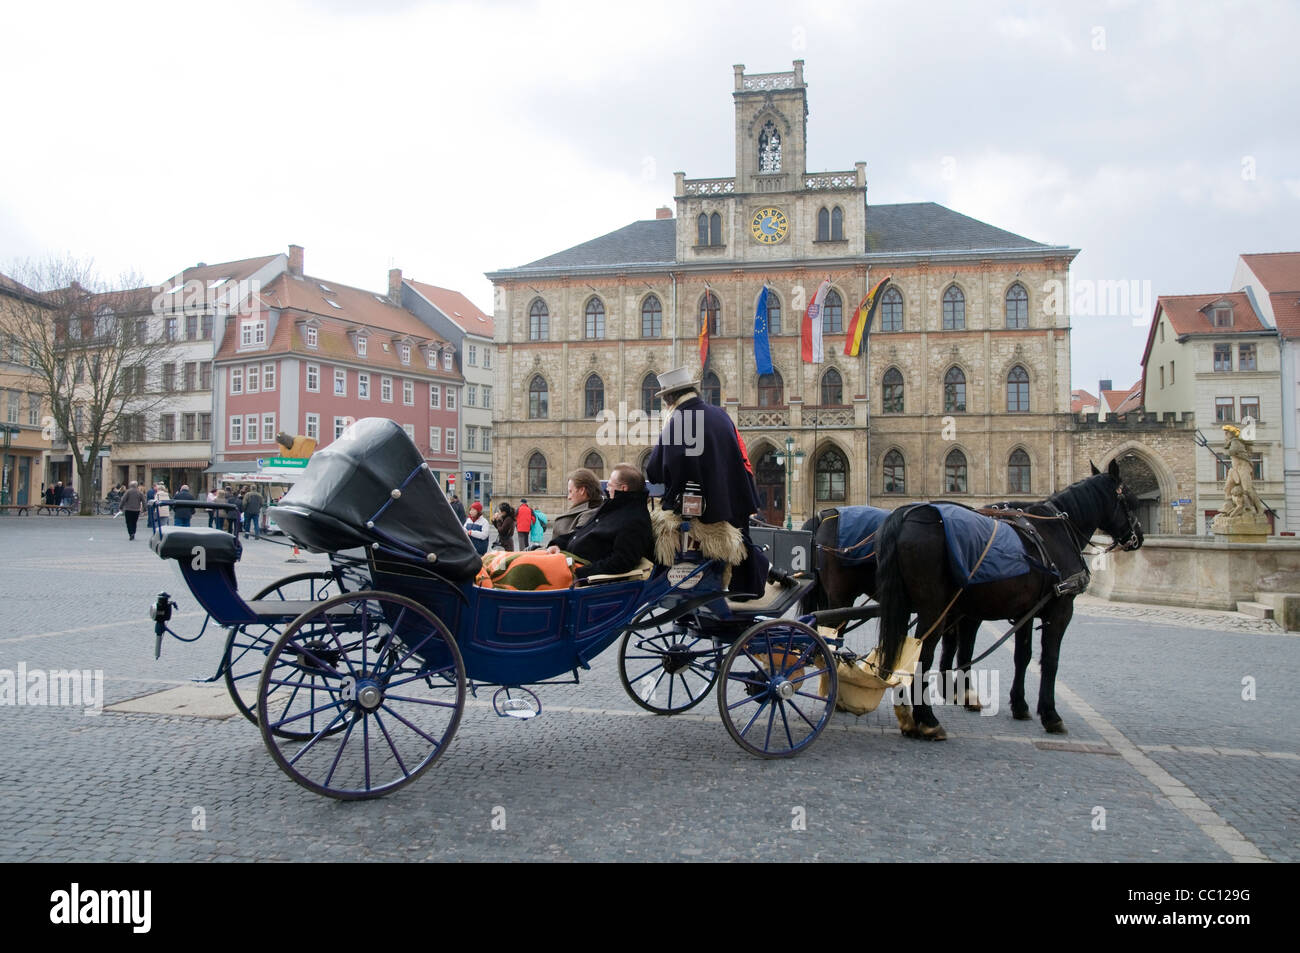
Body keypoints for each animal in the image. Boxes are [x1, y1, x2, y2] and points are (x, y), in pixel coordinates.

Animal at [873, 460, 1138, 738]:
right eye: (1131, 500)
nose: (1138, 537)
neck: (1057, 530)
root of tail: (905, 515)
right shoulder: (1060, 609)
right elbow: (1050, 660)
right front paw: (1051, 715)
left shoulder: (1024, 611)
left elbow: (1022, 655)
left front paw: (1019, 705)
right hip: (935, 607)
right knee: (923, 653)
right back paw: (928, 720)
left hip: (909, 604)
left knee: (904, 648)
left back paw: (910, 715)